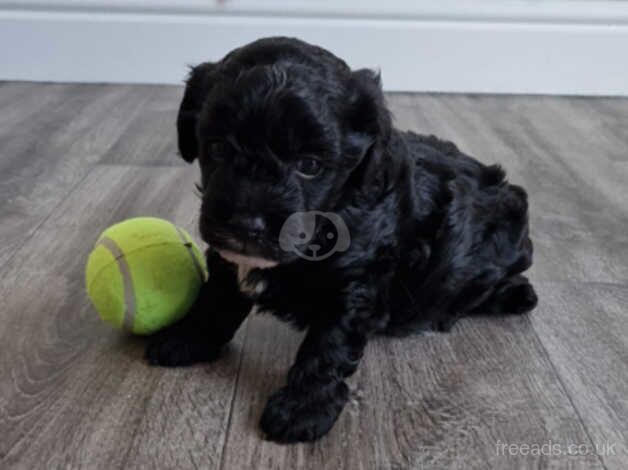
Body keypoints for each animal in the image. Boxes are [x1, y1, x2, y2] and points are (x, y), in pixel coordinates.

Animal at [145, 37, 536, 444]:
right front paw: (188, 338)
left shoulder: (355, 280)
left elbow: (328, 344)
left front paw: (303, 407)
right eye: (218, 148)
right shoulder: (228, 256)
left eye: (310, 165)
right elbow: (216, 298)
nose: (246, 222)